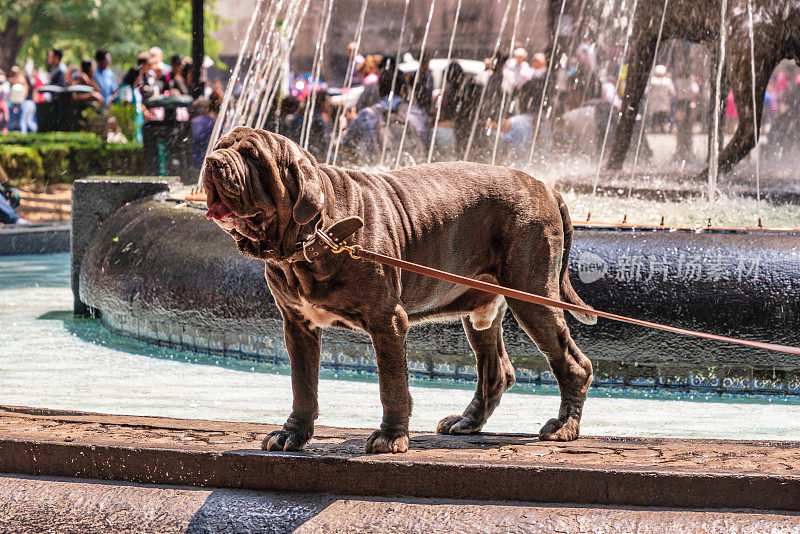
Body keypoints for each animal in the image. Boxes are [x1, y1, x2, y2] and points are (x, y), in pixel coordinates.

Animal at [203, 126, 596, 456]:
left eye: (252, 156)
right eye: (222, 145)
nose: (211, 160)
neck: (312, 239)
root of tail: (547, 187)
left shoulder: (387, 322)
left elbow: (392, 383)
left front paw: (391, 436)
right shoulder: (298, 326)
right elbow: (303, 385)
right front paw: (292, 434)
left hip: (533, 298)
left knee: (574, 364)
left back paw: (563, 427)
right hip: (483, 312)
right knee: (496, 370)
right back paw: (467, 422)